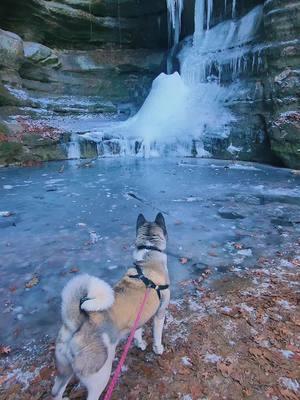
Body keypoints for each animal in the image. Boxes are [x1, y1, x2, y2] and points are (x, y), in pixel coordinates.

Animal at [51, 212, 169, 400]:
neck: (149, 251)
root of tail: (76, 324)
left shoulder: (138, 317)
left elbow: (137, 332)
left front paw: (140, 344)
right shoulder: (160, 313)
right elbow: (157, 335)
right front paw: (158, 349)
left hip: (64, 371)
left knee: (56, 391)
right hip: (100, 377)